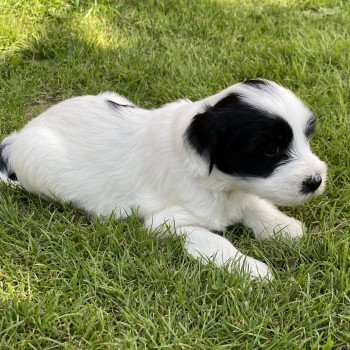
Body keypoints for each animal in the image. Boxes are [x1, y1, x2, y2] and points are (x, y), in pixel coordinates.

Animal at [0, 78, 328, 278]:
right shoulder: (166, 223)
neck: (216, 183)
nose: (315, 181)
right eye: (270, 149)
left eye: (306, 136)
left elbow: (254, 204)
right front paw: (253, 270)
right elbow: (214, 240)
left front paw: (283, 227)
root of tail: (21, 135)